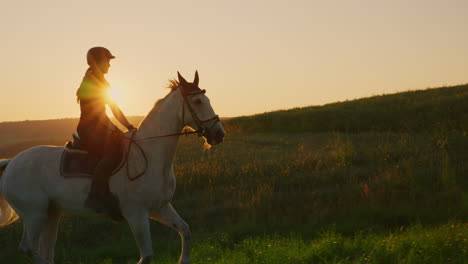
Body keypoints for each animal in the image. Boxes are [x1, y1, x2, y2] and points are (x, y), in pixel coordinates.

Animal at [0, 71, 225, 262]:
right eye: (197, 101)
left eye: (208, 99)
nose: (219, 134)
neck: (151, 155)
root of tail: (11, 162)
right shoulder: (136, 214)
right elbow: (147, 256)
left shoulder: (160, 208)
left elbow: (185, 231)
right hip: (34, 214)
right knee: (28, 248)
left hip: (52, 213)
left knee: (45, 251)